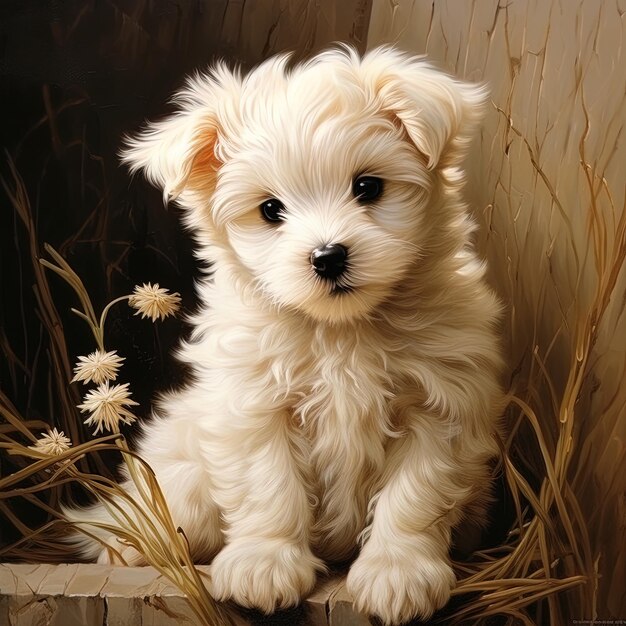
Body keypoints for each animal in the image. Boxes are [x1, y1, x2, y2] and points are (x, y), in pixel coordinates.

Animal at [67, 46, 502, 620]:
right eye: (270, 209)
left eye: (368, 187)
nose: (328, 256)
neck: (341, 330)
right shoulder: (254, 403)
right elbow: (266, 485)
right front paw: (264, 564)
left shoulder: (440, 405)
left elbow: (416, 494)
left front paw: (398, 571)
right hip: (181, 479)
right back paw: (132, 547)